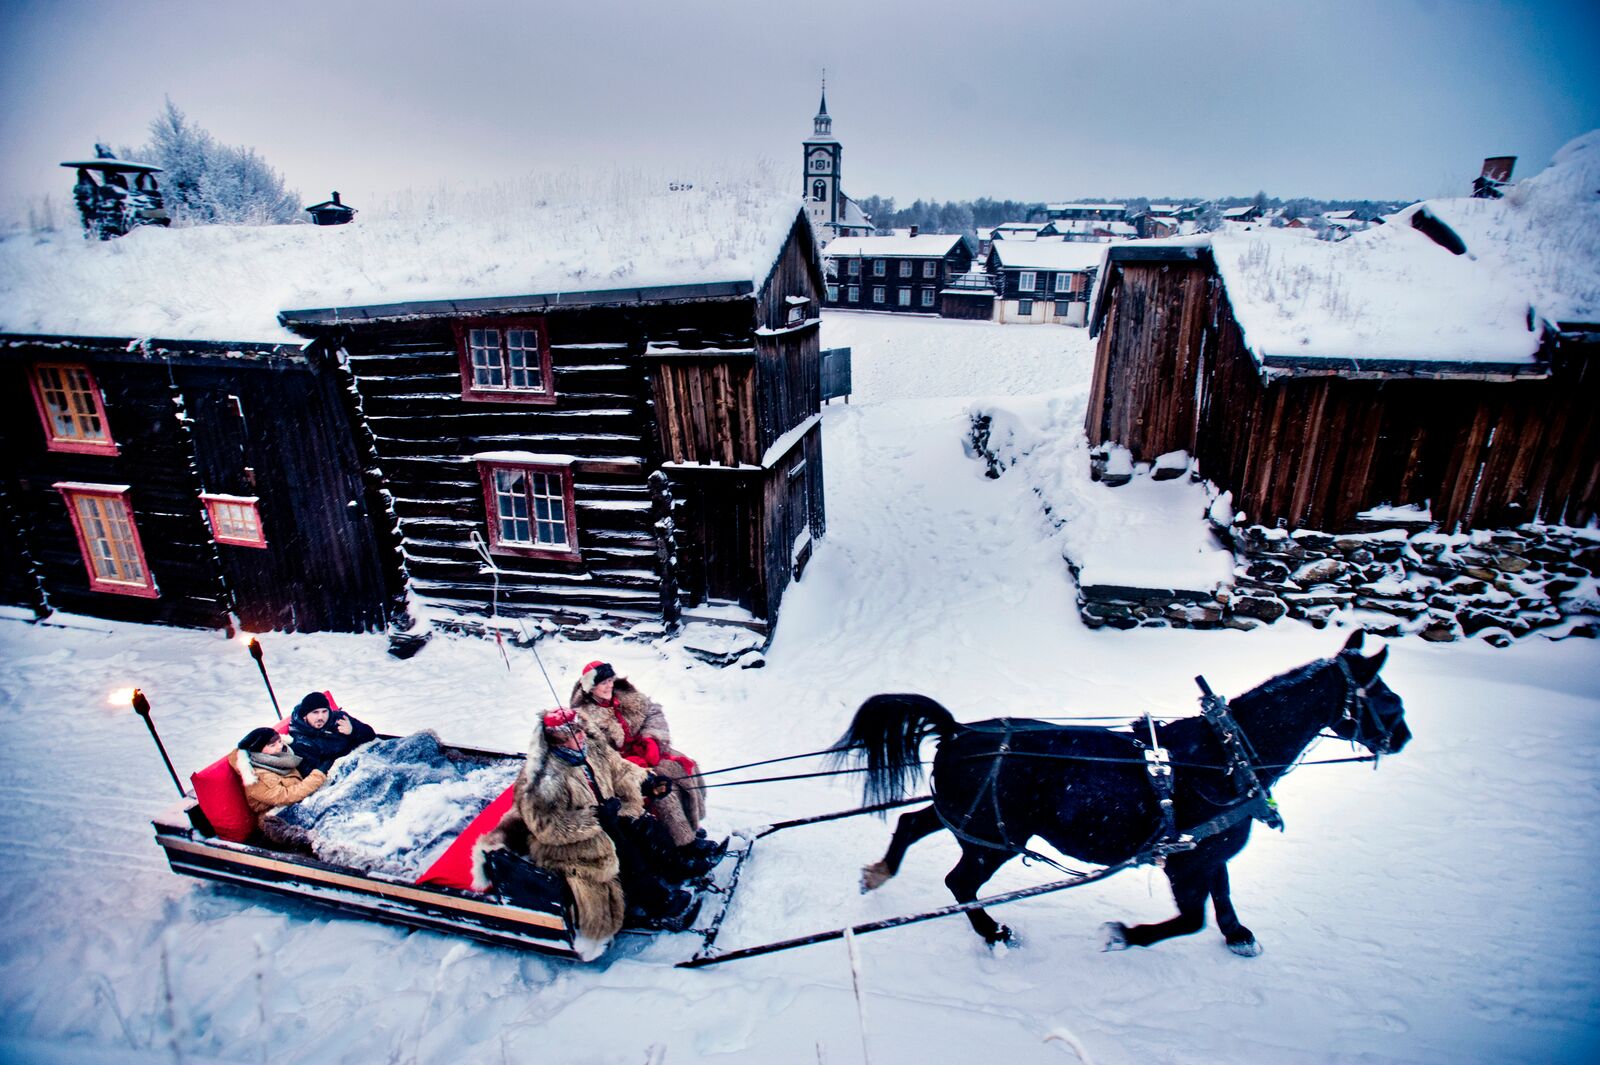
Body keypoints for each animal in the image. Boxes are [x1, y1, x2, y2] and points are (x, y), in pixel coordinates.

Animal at [838, 630, 1414, 953]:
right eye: (1390, 698)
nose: (1405, 737)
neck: (1225, 755)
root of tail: (958, 731)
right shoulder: (1186, 861)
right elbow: (1191, 919)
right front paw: (1125, 935)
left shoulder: (1209, 851)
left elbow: (1223, 897)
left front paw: (1238, 936)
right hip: (994, 842)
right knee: (959, 883)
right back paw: (994, 932)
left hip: (969, 820)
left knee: (912, 823)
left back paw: (879, 872)